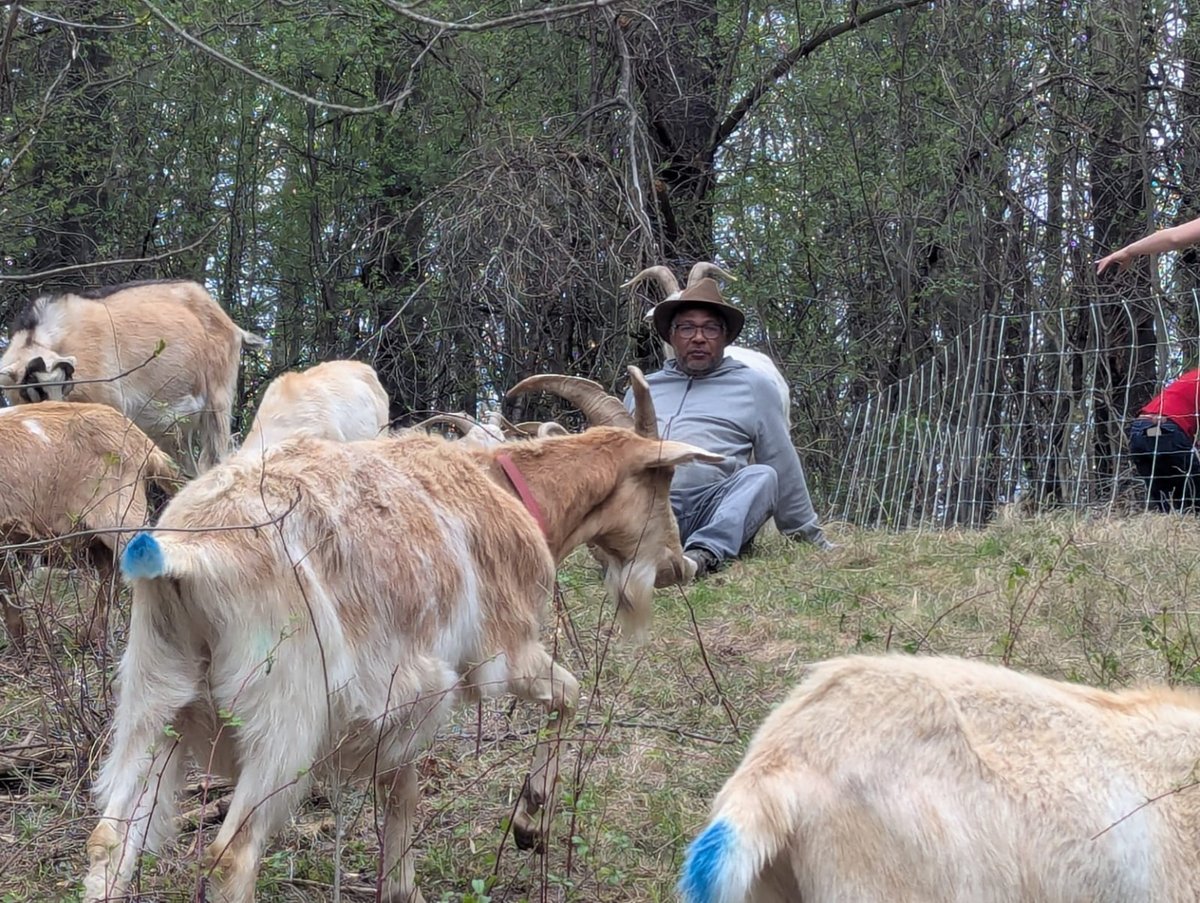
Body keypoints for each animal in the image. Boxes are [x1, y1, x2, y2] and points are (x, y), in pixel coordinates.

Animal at [0, 402, 180, 649]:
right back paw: (92, 637)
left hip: (121, 516)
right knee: (109, 578)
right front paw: (17, 647)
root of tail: (142, 441)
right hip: (96, 536)